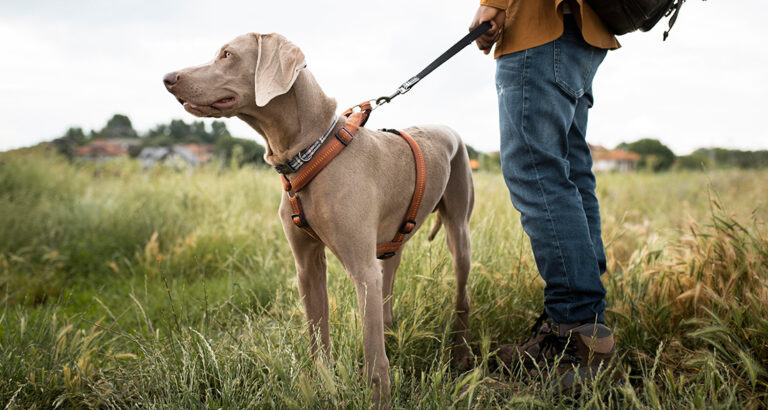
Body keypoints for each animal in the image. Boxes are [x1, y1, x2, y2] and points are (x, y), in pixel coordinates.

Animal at [163, 32, 474, 406]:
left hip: (459, 233)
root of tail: (448, 128)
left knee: (461, 295)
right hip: (392, 245)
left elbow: (373, 358)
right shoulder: (307, 266)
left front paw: (379, 401)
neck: (310, 152)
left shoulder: (362, 271)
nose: (167, 78)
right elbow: (317, 338)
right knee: (388, 289)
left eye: (227, 54)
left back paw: (460, 354)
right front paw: (325, 387)